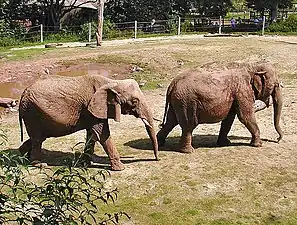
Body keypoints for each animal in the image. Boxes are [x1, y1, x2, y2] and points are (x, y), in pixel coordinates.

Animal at [18, 74, 158, 170]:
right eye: (134, 101)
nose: (157, 159)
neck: (112, 82)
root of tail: (23, 94)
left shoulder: (92, 111)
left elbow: (92, 135)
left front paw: (85, 164)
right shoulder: (92, 107)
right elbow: (102, 134)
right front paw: (120, 168)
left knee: (37, 138)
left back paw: (22, 156)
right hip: (32, 113)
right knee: (38, 139)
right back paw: (40, 164)